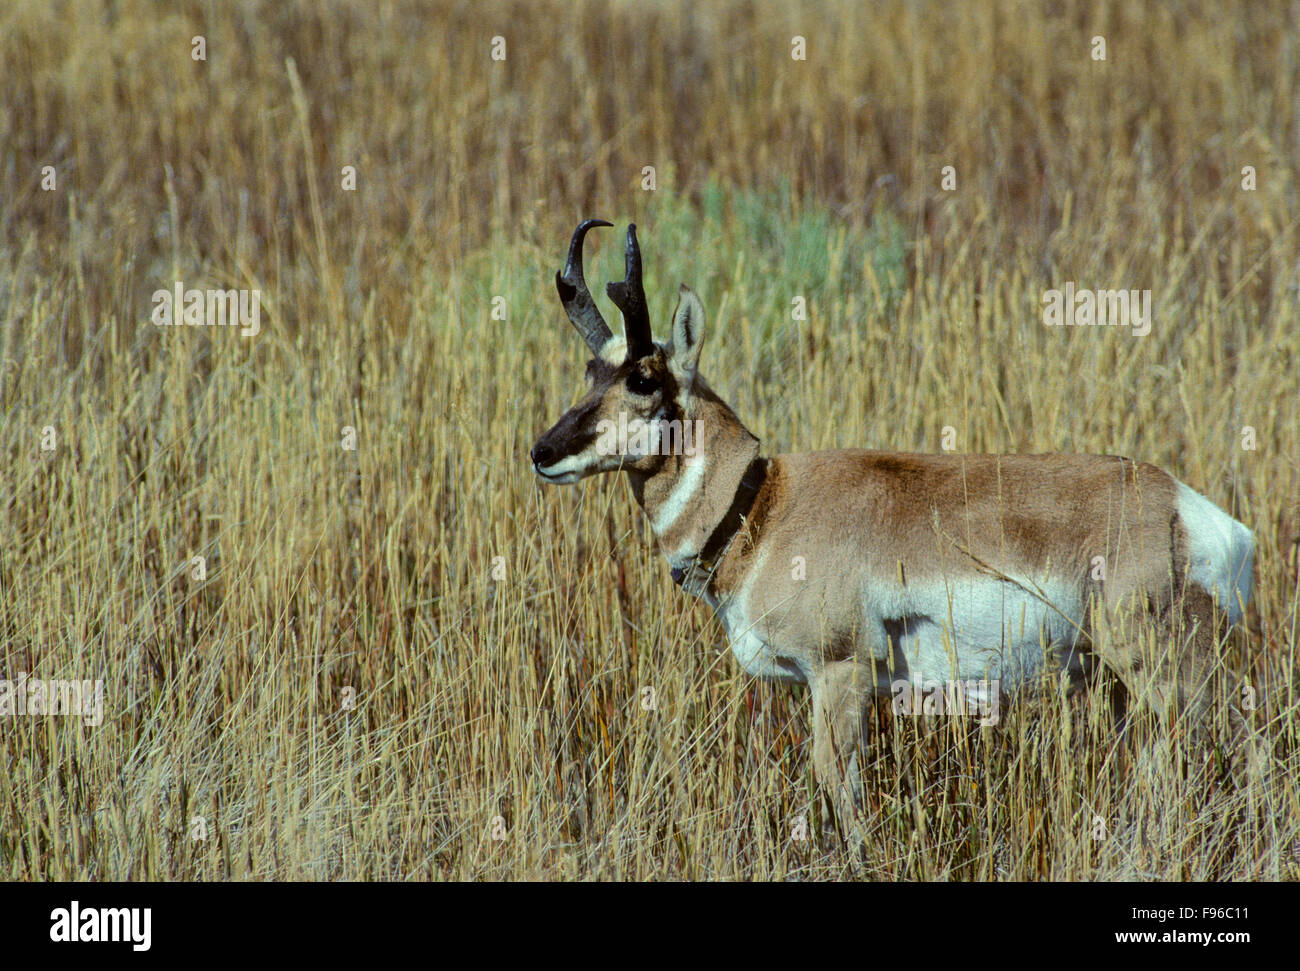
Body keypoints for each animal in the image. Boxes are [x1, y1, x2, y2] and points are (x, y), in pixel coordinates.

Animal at [530, 218, 1258, 805]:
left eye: (644, 378)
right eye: (592, 373)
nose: (543, 451)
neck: (764, 502)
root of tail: (1189, 509)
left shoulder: (840, 671)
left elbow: (840, 789)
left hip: (1169, 669)